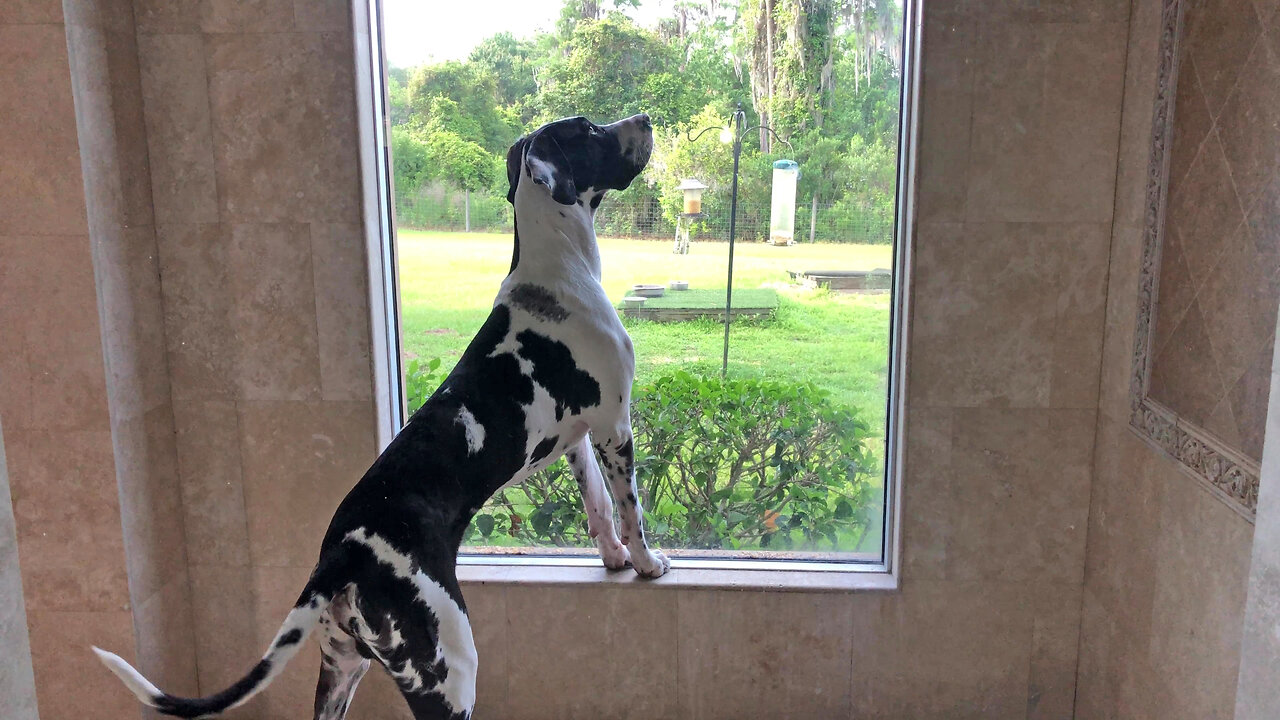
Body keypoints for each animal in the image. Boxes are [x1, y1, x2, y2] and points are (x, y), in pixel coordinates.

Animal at [94, 112, 665, 717]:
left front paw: (613, 558)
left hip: (342, 668)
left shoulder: (580, 438)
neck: (558, 268)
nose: (644, 119)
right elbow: (630, 508)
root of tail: (341, 556)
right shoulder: (615, 428)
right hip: (447, 669)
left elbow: (599, 507)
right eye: (589, 129)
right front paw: (646, 562)